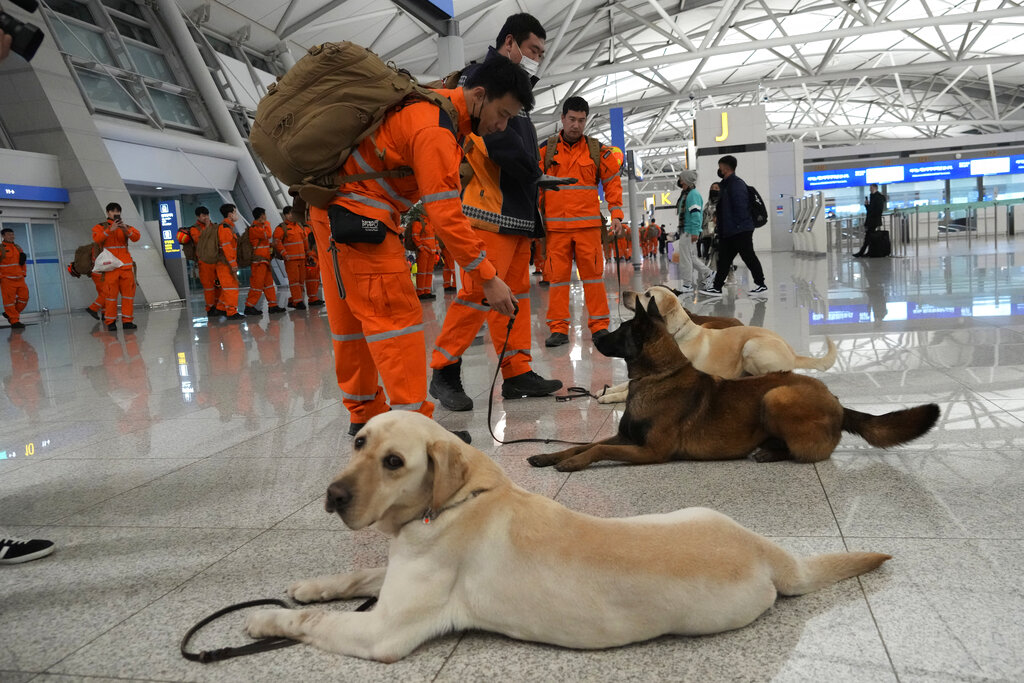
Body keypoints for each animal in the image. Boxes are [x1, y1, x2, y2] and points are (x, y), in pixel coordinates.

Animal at [243, 411, 892, 663]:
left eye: (395, 462)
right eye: (359, 442)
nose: (333, 495)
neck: (457, 500)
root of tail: (768, 551)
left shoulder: (383, 631)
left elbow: (314, 624)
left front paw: (263, 619)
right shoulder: (396, 570)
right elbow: (357, 574)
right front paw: (309, 585)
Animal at [598, 286, 835, 403]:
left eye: (647, 295)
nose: (623, 293)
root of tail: (793, 352)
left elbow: (626, 391)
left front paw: (608, 397)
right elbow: (624, 384)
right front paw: (605, 391)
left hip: (751, 346)